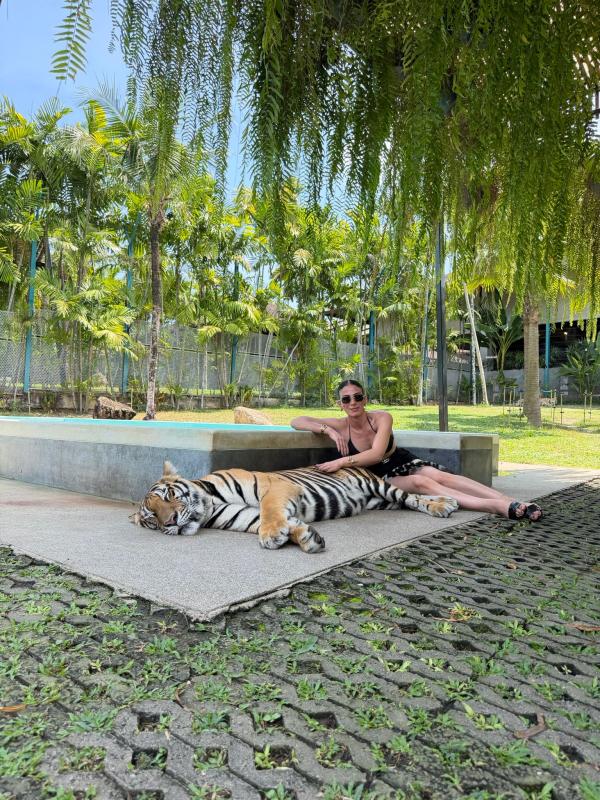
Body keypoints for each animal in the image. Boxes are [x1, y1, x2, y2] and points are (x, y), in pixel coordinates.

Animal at [133, 461, 459, 554]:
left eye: (169, 495)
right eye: (152, 520)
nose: (170, 521)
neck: (211, 506)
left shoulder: (274, 487)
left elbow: (270, 511)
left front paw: (272, 534)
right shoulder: (244, 517)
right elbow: (277, 524)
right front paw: (305, 537)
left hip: (378, 486)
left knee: (411, 497)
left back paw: (444, 504)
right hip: (381, 503)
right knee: (401, 503)